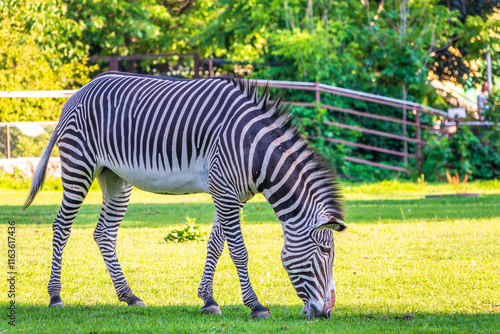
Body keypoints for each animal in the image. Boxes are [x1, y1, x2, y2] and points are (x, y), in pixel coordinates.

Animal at [23, 72, 344, 318]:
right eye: (325, 251)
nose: (327, 313)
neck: (254, 150)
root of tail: (79, 92)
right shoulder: (225, 191)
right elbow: (239, 251)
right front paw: (255, 305)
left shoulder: (232, 195)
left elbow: (215, 245)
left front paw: (208, 300)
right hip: (78, 166)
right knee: (61, 227)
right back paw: (55, 296)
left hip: (114, 177)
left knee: (104, 233)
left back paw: (129, 295)